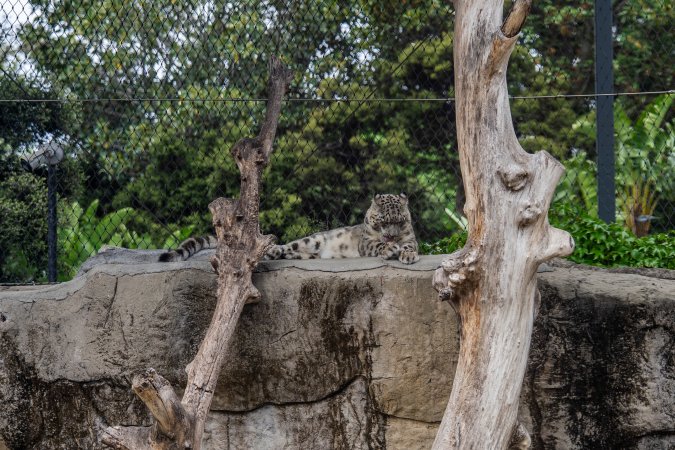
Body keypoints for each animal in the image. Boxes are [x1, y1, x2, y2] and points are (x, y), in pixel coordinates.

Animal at [158, 193, 419, 264]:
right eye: (383, 221)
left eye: (399, 221)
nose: (391, 236)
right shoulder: (367, 241)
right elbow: (375, 244)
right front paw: (389, 249)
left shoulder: (411, 239)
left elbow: (409, 246)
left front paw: (406, 254)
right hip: (311, 240)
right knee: (286, 246)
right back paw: (271, 251)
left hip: (309, 252)